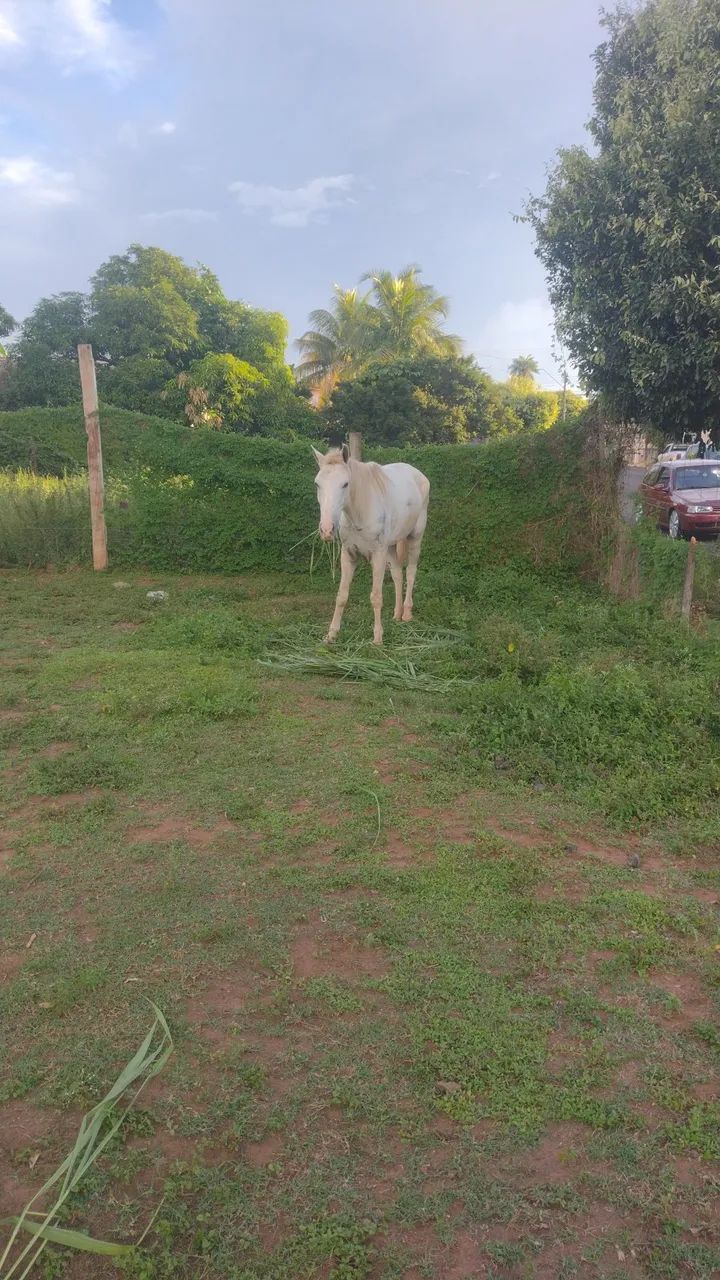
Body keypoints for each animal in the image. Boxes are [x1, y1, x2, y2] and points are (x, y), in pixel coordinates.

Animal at [312, 445, 430, 645]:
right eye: (317, 484)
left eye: (345, 484)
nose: (327, 530)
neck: (360, 511)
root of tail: (418, 474)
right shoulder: (348, 555)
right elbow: (342, 595)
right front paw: (331, 635)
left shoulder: (378, 556)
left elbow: (376, 597)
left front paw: (377, 639)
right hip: (391, 546)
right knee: (398, 574)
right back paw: (396, 614)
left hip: (415, 538)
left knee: (411, 573)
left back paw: (407, 614)